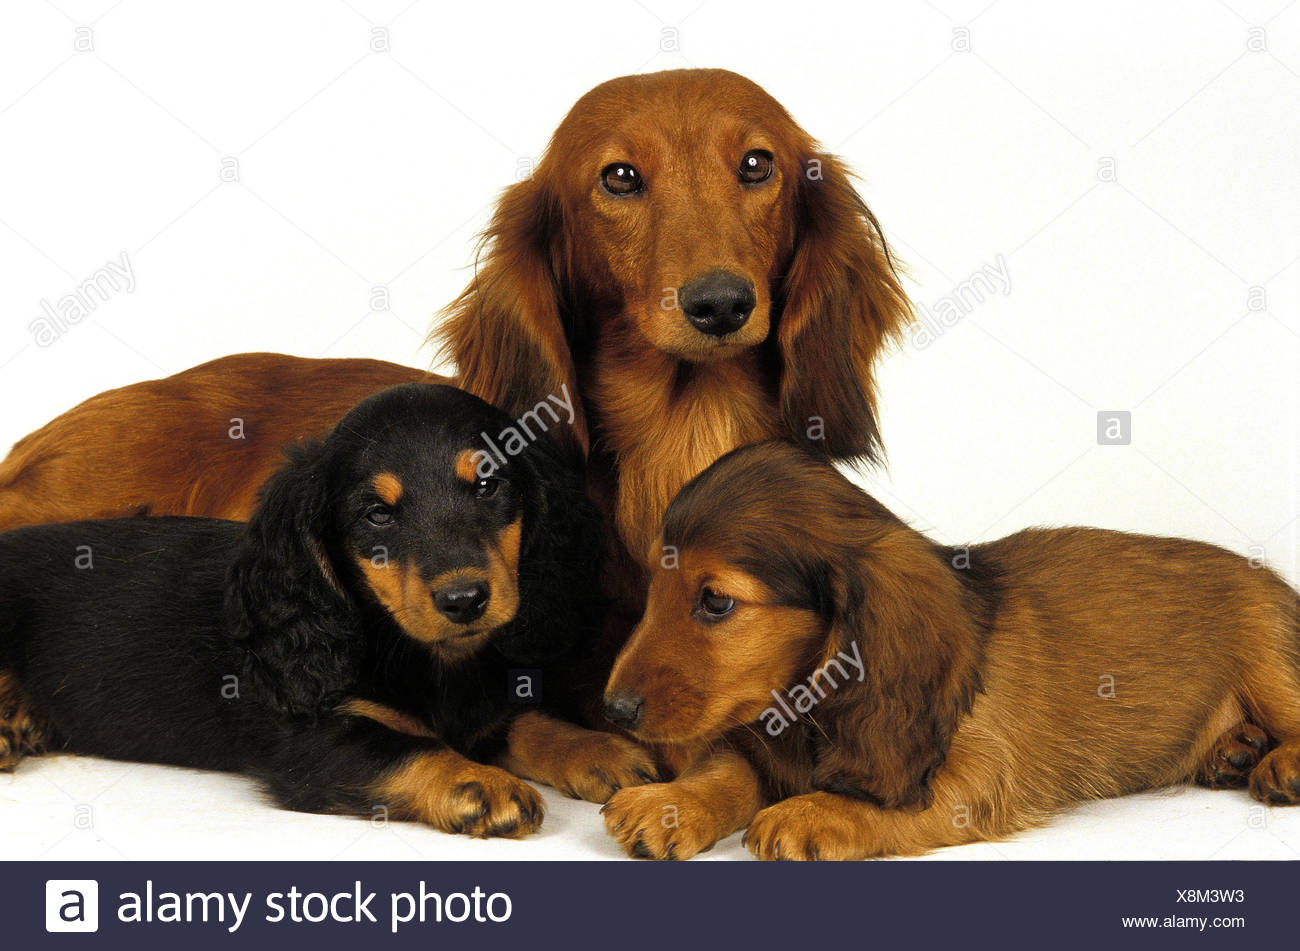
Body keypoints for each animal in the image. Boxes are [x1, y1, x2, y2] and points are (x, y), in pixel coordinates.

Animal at [0, 381, 650, 836]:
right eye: (377, 515)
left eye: (489, 485)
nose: (465, 600)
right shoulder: (308, 743)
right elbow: (405, 747)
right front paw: (479, 783)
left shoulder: (481, 708)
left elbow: (526, 720)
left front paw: (599, 750)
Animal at [600, 441, 1300, 857]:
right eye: (654, 585)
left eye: (716, 601)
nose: (613, 712)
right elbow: (730, 770)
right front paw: (670, 807)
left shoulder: (975, 776)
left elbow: (881, 803)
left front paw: (811, 814)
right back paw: (1232, 751)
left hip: (1267, 653)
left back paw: (1274, 763)